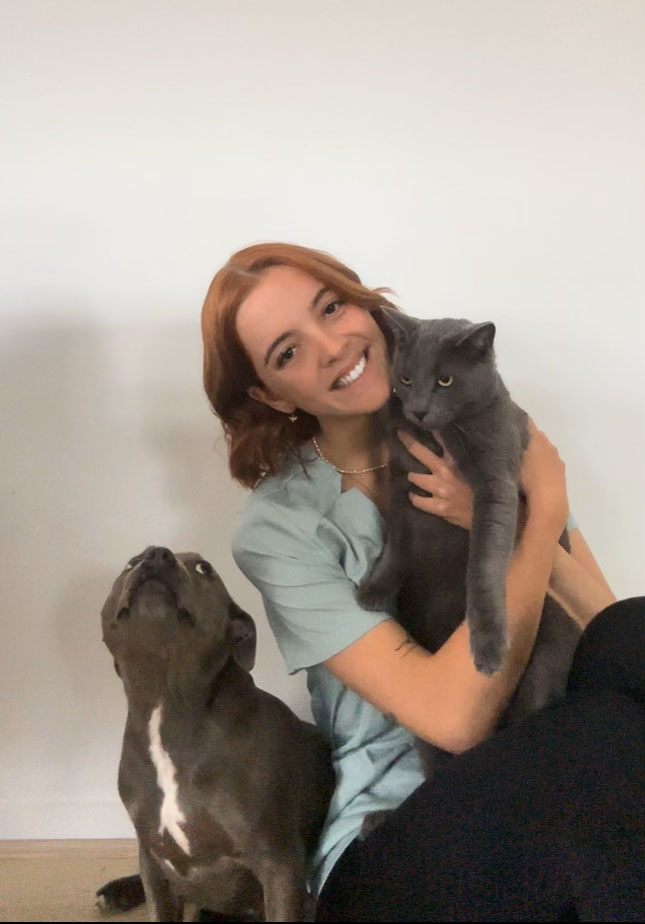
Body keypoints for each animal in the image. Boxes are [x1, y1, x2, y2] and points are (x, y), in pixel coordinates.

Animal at [102, 544, 332, 920]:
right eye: (129, 563)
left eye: (204, 568)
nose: (155, 554)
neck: (168, 704)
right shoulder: (153, 860)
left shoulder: (279, 864)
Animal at [358, 310, 580, 764]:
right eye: (405, 379)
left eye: (445, 380)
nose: (419, 410)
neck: (436, 438)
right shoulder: (402, 479)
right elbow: (399, 543)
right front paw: (375, 588)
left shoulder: (496, 485)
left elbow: (483, 564)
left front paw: (489, 647)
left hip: (544, 666)